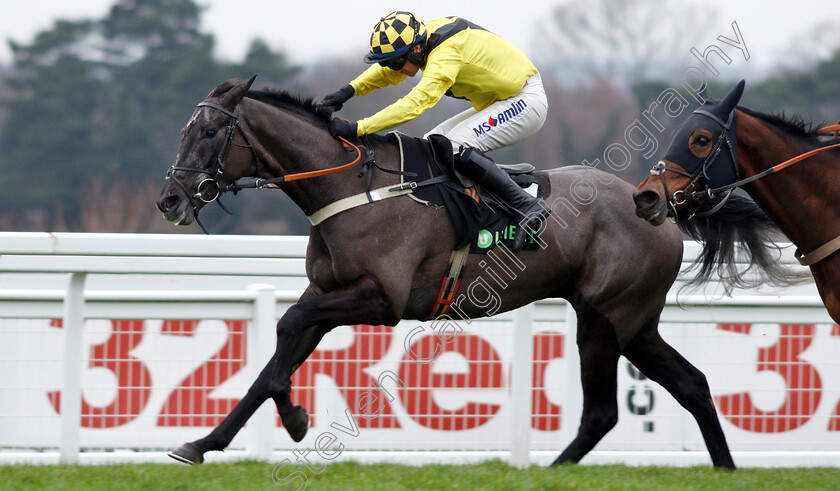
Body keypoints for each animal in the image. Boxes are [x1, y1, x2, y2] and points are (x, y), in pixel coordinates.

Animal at [158, 76, 736, 468]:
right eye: (185, 130)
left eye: (209, 130)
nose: (170, 200)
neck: (353, 188)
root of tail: (662, 208)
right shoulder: (328, 290)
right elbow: (274, 357)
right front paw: (203, 443)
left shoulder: (381, 299)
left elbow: (284, 329)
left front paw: (297, 419)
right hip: (634, 322)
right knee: (693, 384)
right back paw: (725, 468)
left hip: (604, 316)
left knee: (602, 412)